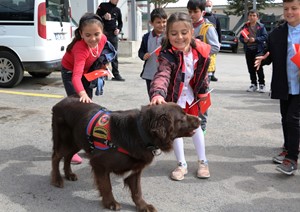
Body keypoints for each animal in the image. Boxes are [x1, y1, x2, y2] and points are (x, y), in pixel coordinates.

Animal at [50, 95, 200, 210]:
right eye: (182, 117)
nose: (199, 119)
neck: (140, 133)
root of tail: (60, 102)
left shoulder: (135, 169)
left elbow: (137, 191)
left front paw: (143, 206)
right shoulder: (99, 163)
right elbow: (107, 186)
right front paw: (110, 203)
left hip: (76, 141)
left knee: (67, 157)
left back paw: (69, 174)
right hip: (66, 141)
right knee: (56, 157)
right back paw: (57, 179)